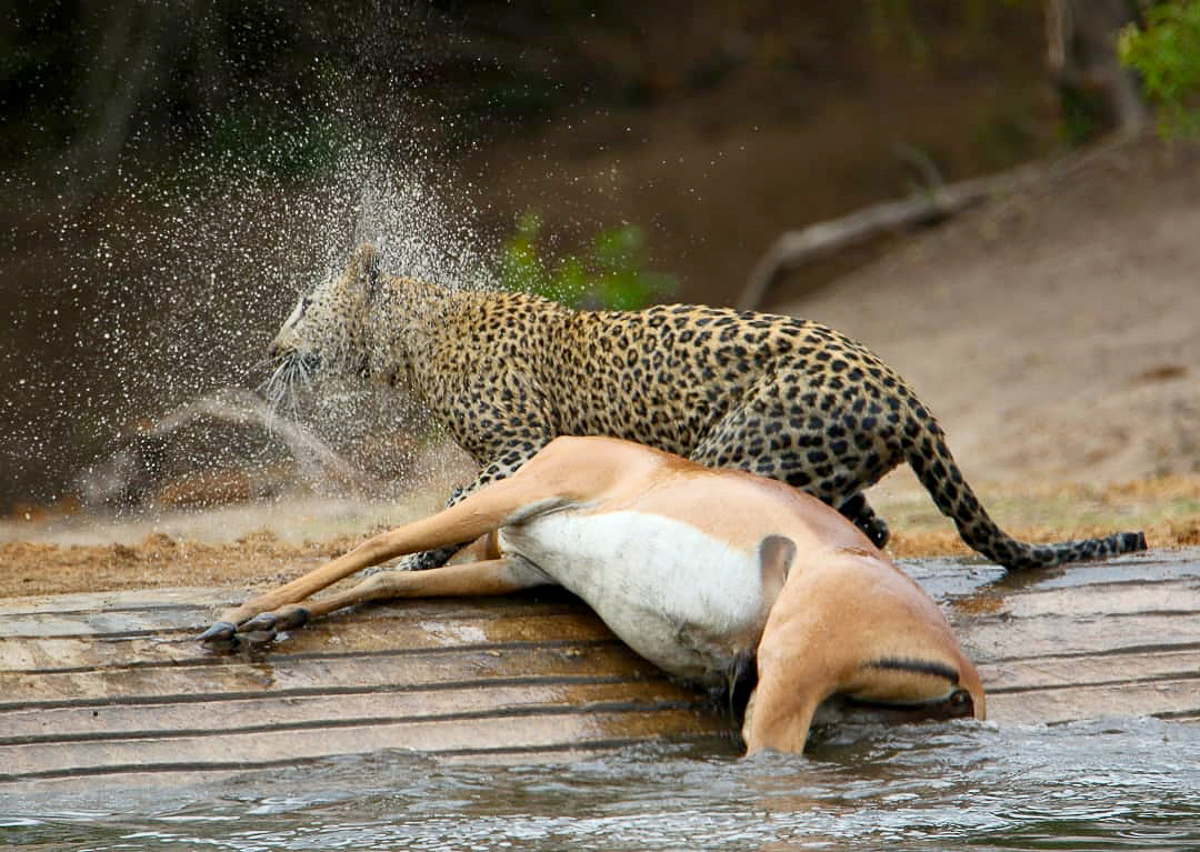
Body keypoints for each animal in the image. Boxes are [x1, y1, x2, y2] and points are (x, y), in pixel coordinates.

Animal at [266, 242, 1146, 572]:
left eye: (303, 302)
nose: (271, 352)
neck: (407, 342)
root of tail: (905, 391)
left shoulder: (521, 443)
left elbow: (465, 496)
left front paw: (422, 554)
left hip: (746, 447)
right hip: (826, 466)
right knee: (869, 527)